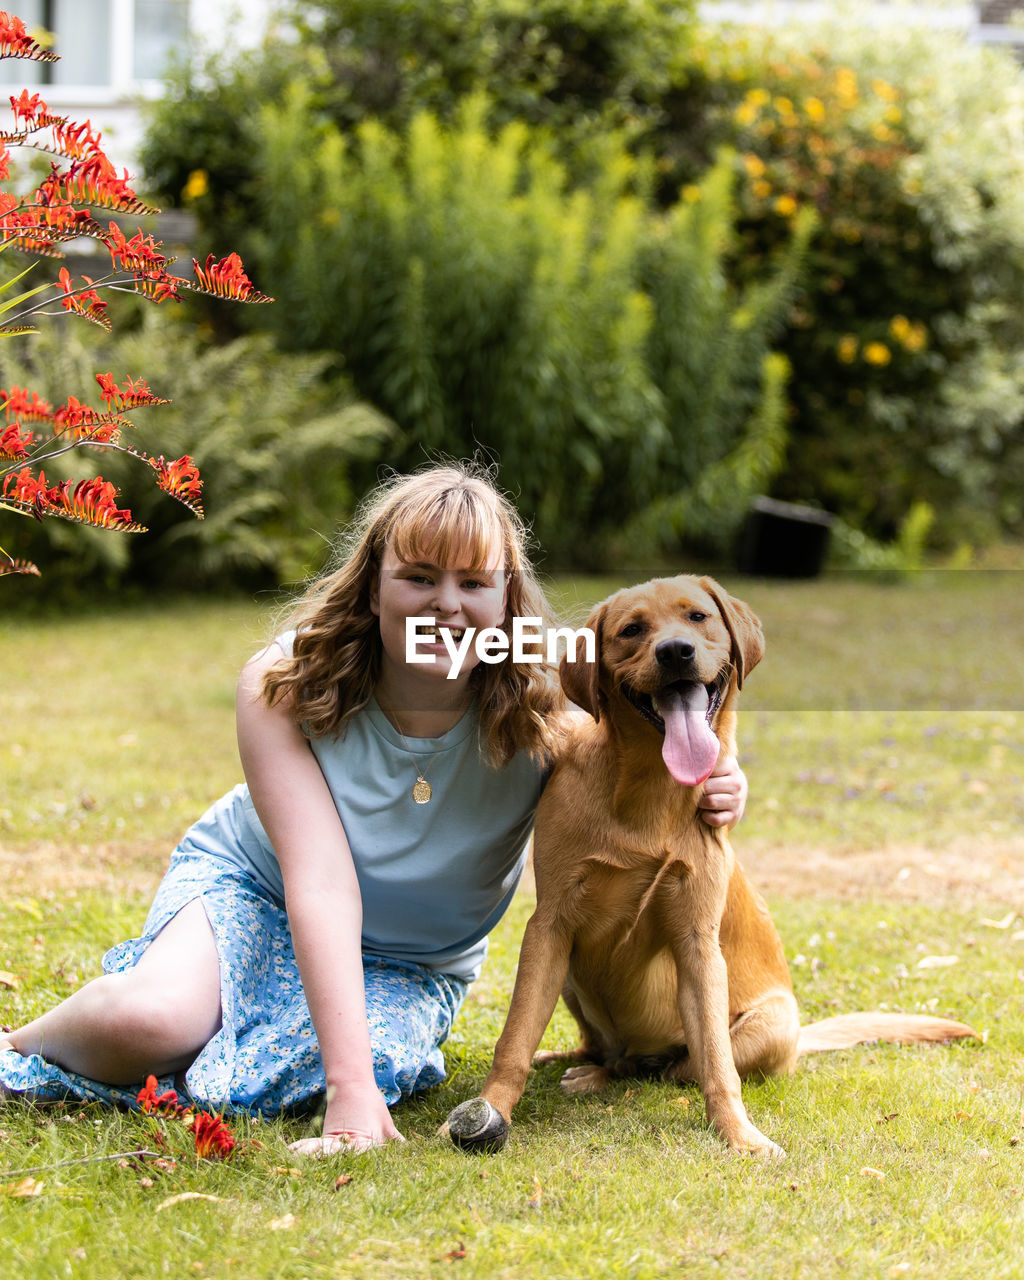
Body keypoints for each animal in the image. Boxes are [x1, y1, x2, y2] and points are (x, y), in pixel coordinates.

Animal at [445, 576, 977, 1157]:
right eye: (632, 629)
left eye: (697, 617)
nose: (676, 651)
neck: (650, 792)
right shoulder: (550, 926)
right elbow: (516, 1036)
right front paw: (490, 1108)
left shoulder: (698, 942)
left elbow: (718, 1068)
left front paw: (740, 1135)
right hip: (566, 974)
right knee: (604, 1052)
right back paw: (577, 1065)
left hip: (767, 1025)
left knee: (669, 1069)